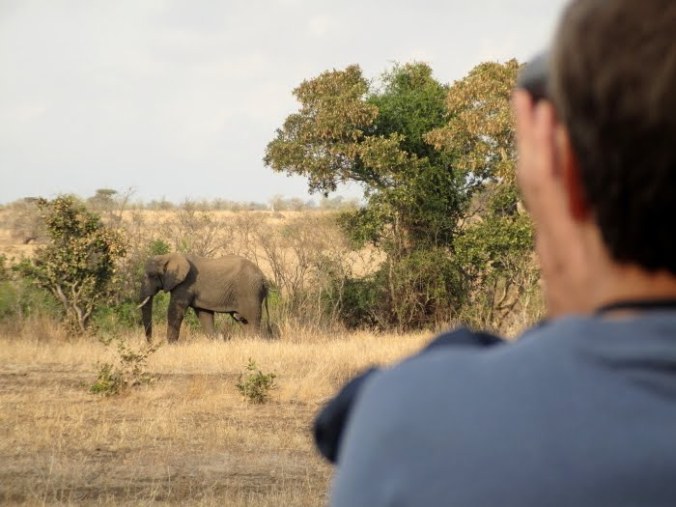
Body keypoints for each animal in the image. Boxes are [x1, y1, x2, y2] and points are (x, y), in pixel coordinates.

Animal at [138, 253, 271, 343]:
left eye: (153, 276)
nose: (150, 343)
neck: (167, 257)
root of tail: (264, 278)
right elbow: (204, 314)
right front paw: (214, 341)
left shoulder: (185, 284)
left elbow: (175, 310)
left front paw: (170, 345)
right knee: (242, 320)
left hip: (250, 291)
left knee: (252, 319)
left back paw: (254, 341)